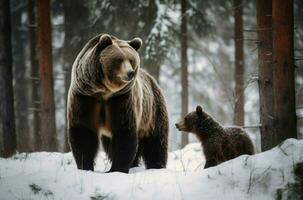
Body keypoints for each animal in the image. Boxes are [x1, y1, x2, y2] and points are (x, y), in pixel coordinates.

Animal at [67, 33, 170, 173]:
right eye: (119, 60)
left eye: (131, 60)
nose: (130, 73)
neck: (105, 91)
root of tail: (152, 80)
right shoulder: (85, 97)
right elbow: (83, 132)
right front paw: (85, 166)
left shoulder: (121, 99)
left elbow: (124, 133)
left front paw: (116, 169)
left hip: (152, 111)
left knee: (156, 141)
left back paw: (156, 165)